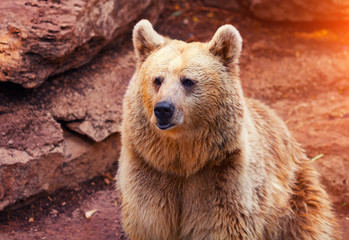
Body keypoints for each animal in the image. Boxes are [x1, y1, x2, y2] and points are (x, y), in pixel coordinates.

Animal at [115, 19, 338, 240]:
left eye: (188, 81)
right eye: (157, 79)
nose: (163, 109)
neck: (184, 159)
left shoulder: (223, 179)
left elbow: (225, 224)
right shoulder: (149, 171)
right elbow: (150, 222)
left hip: (296, 192)